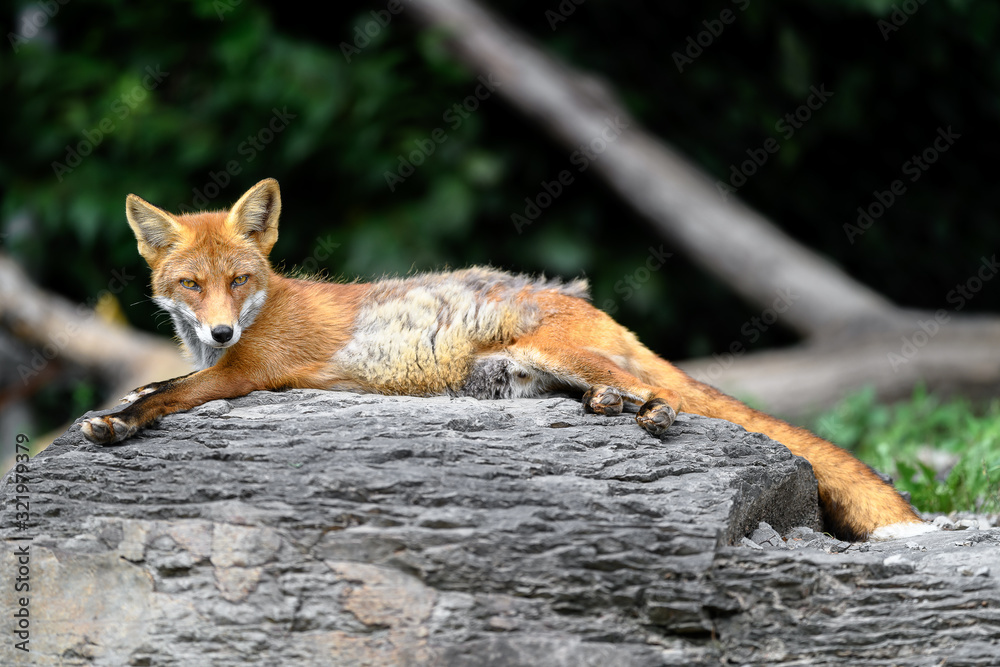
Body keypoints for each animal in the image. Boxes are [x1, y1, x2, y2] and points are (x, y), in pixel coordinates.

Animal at [80, 178, 934, 542]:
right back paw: (609, 408)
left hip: (556, 351)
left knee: (654, 386)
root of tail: (580, 300)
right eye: (190, 286)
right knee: (609, 388)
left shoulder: (248, 371)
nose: (222, 329)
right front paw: (117, 412)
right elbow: (161, 380)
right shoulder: (220, 363)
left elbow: (163, 395)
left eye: (239, 281)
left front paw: (119, 423)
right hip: (519, 375)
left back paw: (646, 408)